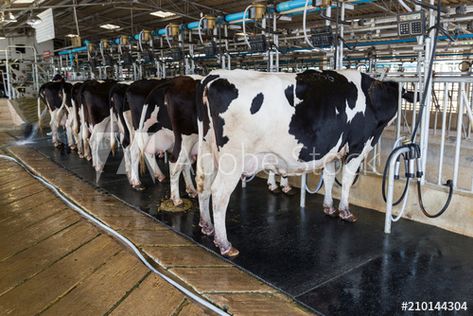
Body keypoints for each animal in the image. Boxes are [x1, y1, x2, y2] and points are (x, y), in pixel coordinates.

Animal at [194, 69, 412, 256]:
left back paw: (206, 226)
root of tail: (212, 78)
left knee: (203, 184)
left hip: (206, 149)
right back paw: (224, 243)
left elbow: (329, 178)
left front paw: (329, 208)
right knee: (219, 193)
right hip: (232, 160)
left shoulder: (331, 150)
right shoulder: (358, 147)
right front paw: (345, 211)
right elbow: (347, 182)